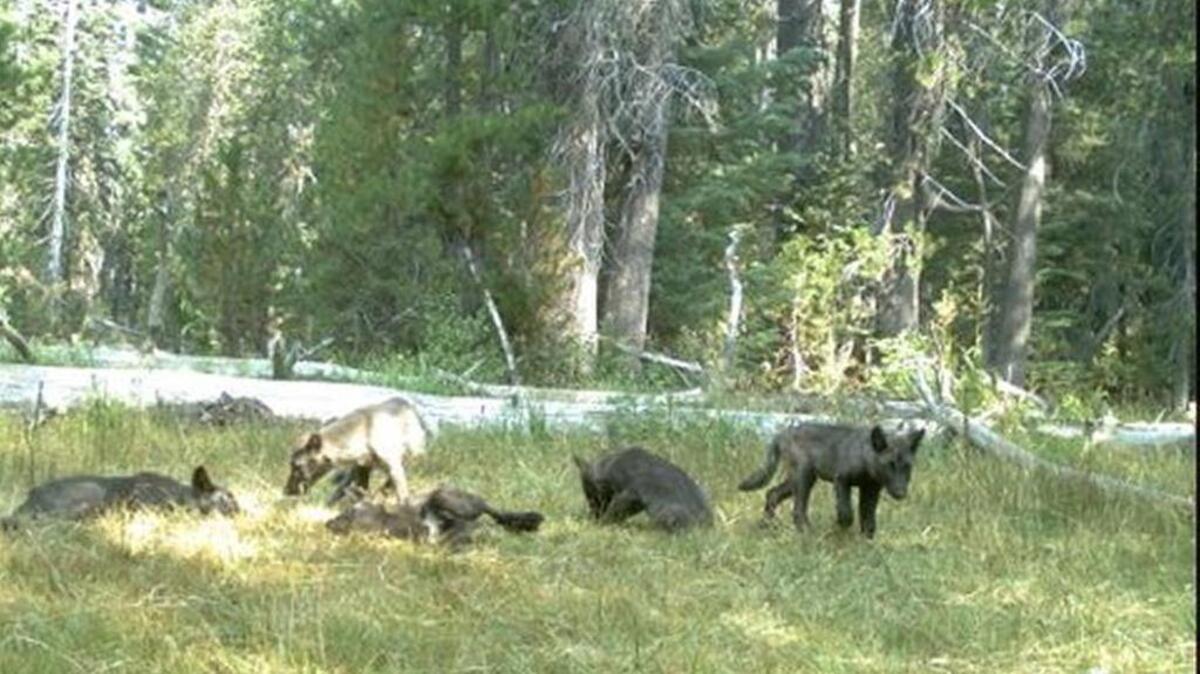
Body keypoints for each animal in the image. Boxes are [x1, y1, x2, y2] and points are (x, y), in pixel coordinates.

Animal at [283, 397, 429, 504]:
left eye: (297, 465)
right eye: (291, 465)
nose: (286, 491)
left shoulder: (394, 467)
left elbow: (401, 495)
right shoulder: (362, 468)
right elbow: (359, 492)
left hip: (409, 459)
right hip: (355, 471)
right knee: (341, 488)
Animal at [738, 423, 925, 538]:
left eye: (907, 467)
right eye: (889, 465)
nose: (901, 493)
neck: (865, 458)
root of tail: (782, 433)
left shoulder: (870, 490)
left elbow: (869, 521)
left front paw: (867, 543)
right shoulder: (841, 480)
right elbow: (846, 513)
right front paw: (839, 530)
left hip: (798, 480)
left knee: (772, 493)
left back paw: (765, 526)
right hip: (804, 478)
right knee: (798, 510)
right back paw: (808, 534)